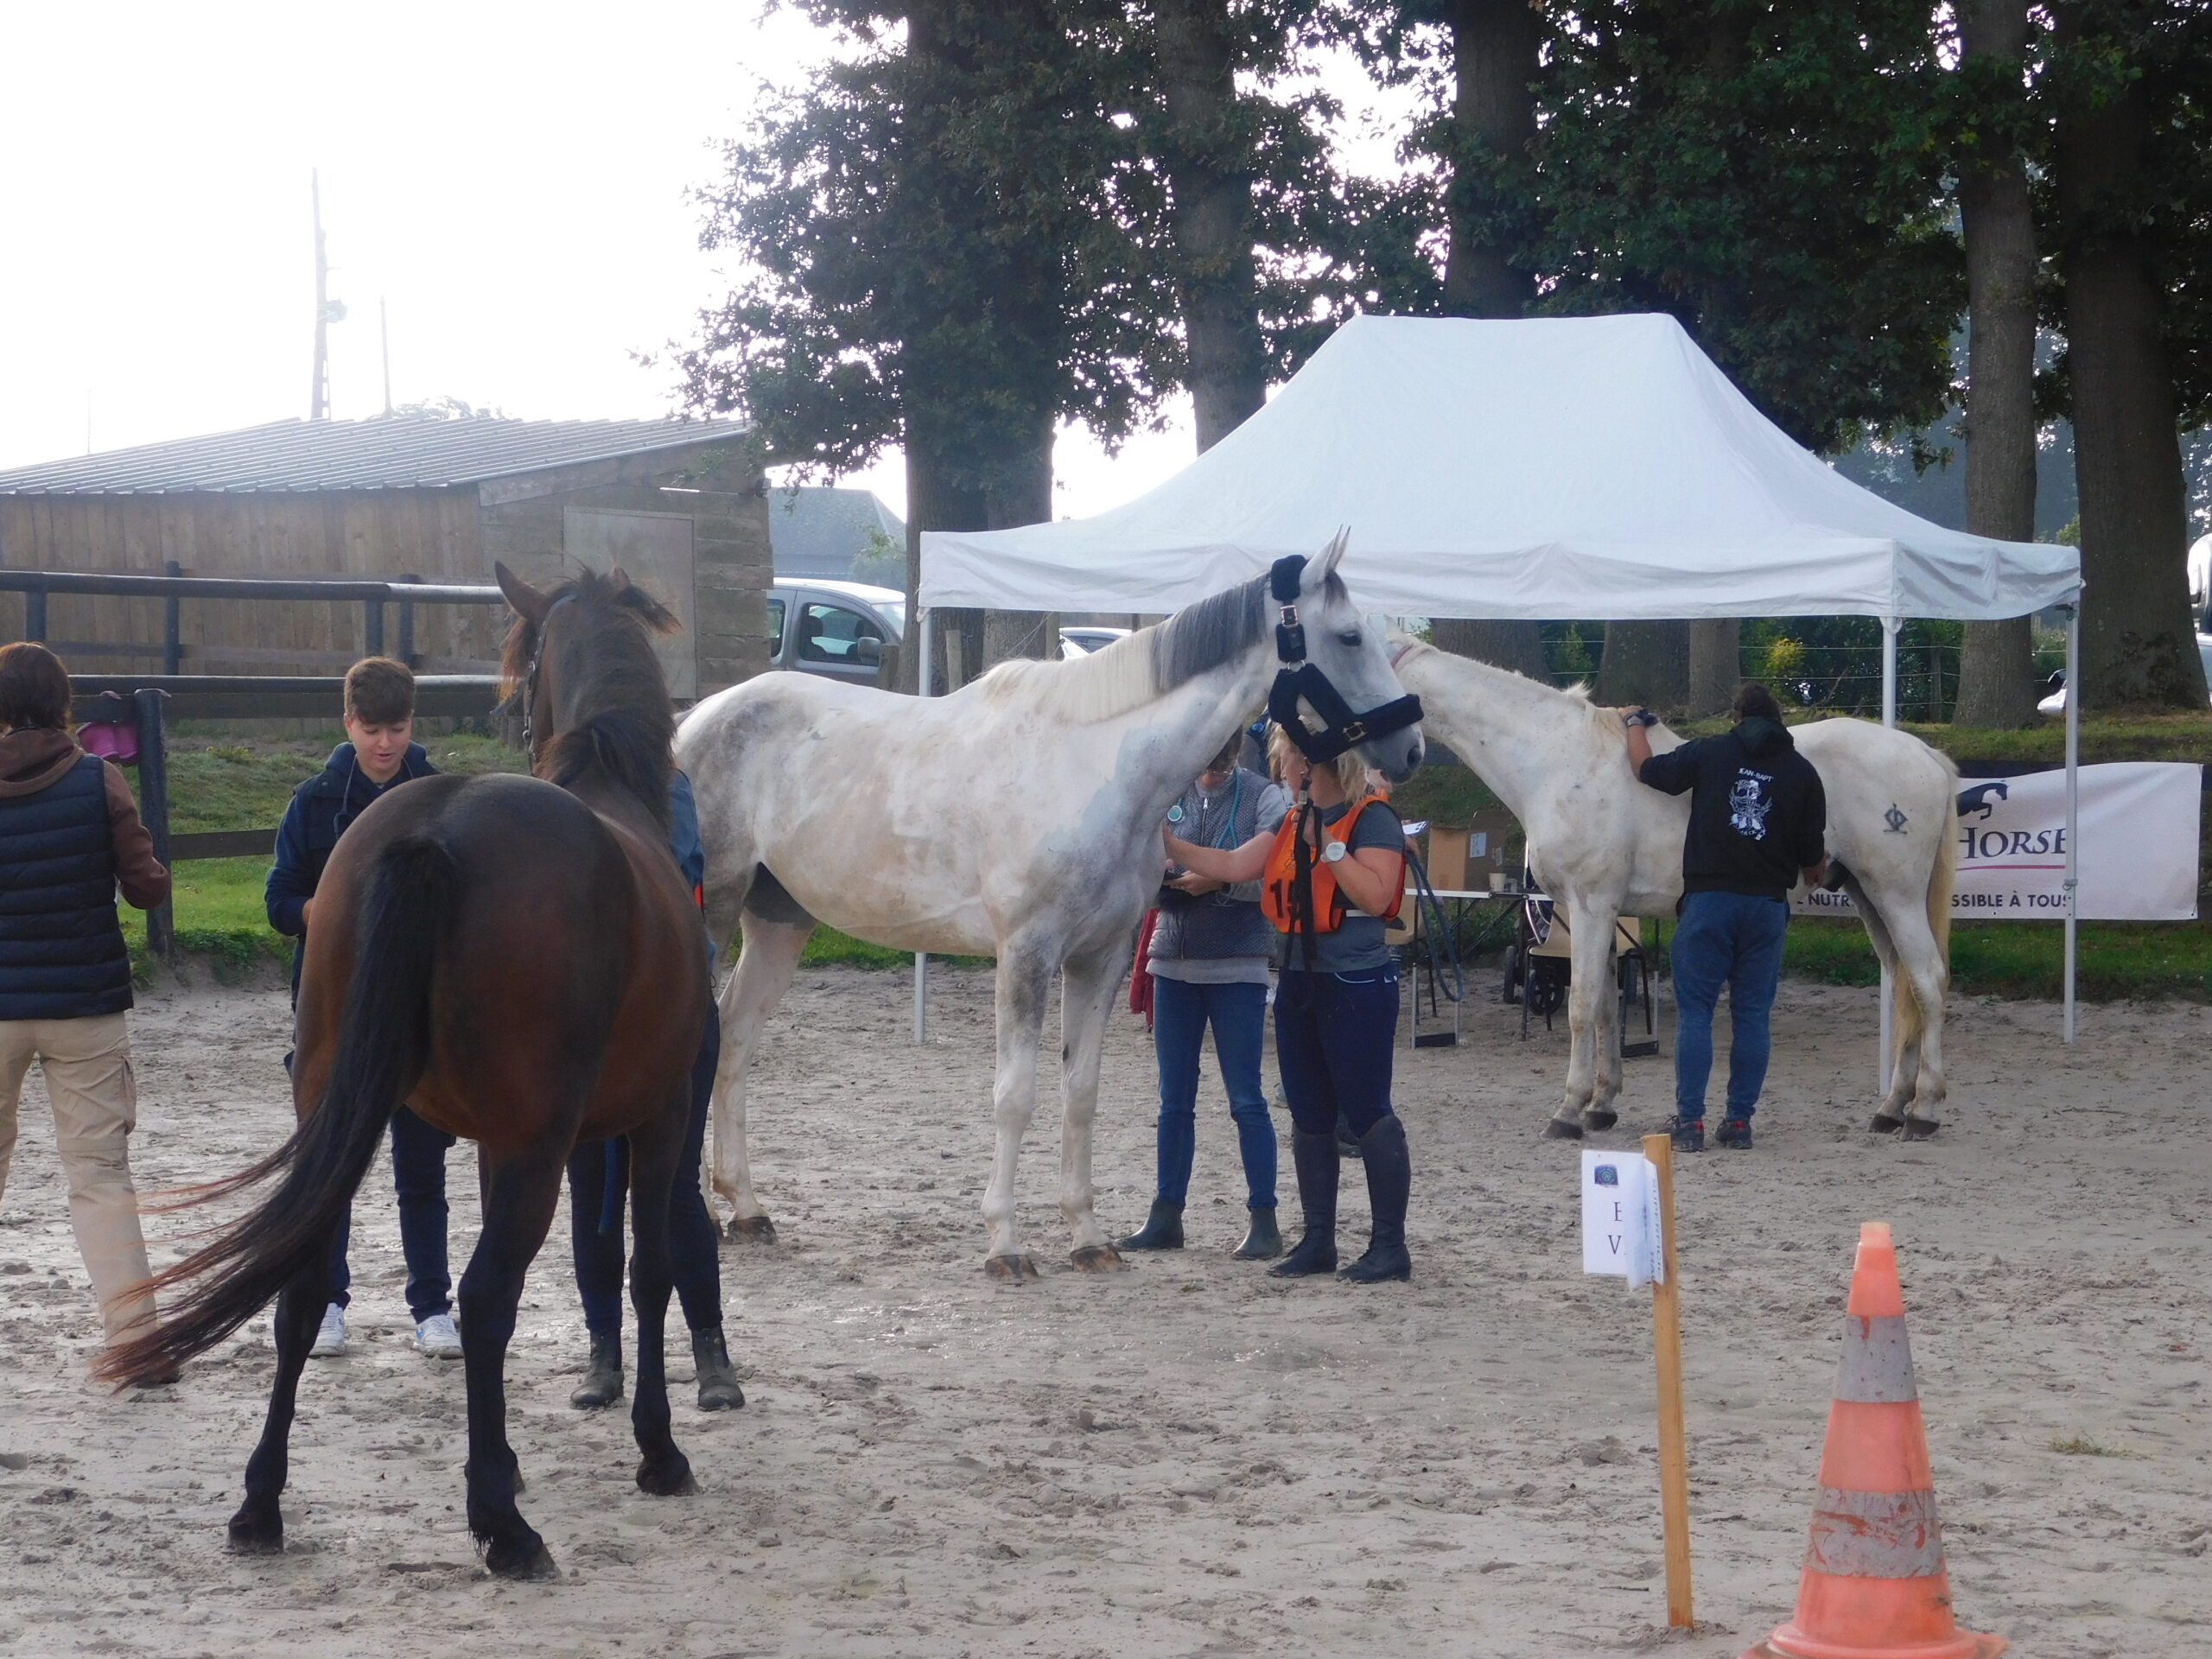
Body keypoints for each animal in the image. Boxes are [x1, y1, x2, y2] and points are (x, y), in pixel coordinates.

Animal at [101, 566, 708, 1574]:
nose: (503, 715)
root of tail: (435, 828)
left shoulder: (504, 1142)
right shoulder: (652, 1120)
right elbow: (650, 1268)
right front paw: (657, 1452)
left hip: (342, 1111)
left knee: (305, 1288)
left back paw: (261, 1504)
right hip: (540, 1149)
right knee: (488, 1297)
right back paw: (503, 1526)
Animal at [681, 539, 1424, 1282]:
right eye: (1349, 636)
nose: (1411, 750)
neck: (1096, 769)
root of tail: (695, 721)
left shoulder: (1099, 957)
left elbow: (1080, 1093)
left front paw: (1087, 1236)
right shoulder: (1027, 953)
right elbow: (1015, 1096)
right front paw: (1005, 1245)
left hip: (779, 922)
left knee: (737, 1037)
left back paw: (746, 1209)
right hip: (713, 916)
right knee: (706, 1037)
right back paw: (706, 1218)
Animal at [1389, 637, 1964, 1141]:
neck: (1557, 757)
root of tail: (1924, 752)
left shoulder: (1591, 907)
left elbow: (1580, 1007)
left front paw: (1569, 1112)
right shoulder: (1594, 914)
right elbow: (1605, 1007)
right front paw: (1601, 1105)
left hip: (1897, 897)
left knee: (1928, 982)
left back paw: (1923, 1111)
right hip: (1870, 898)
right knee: (1906, 985)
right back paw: (1892, 1107)